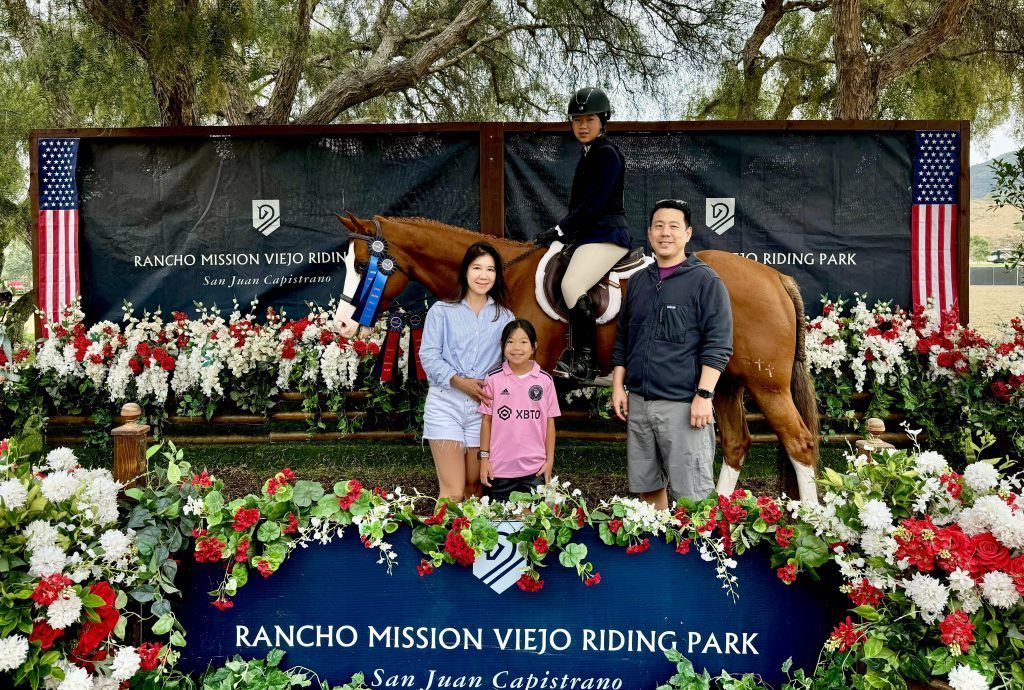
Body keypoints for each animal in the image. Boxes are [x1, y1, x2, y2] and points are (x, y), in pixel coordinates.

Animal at [337, 211, 823, 501]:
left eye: (363, 266)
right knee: (738, 443)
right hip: (723, 384)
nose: (343, 326)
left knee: (800, 442)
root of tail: (775, 277)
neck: (504, 275)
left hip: (767, 385)